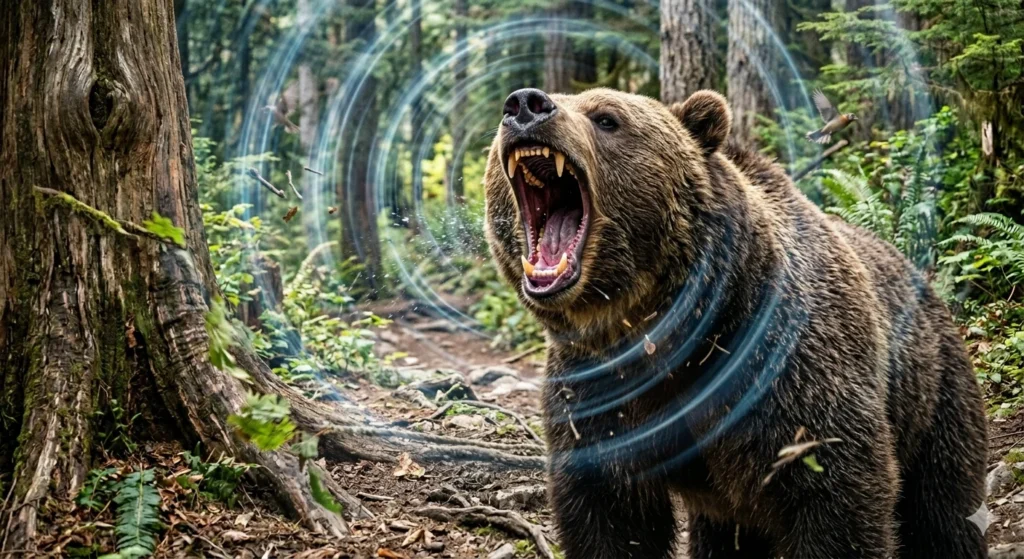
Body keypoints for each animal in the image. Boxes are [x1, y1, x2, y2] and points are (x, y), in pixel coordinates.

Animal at [482, 87, 988, 559]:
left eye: (607, 118)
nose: (525, 104)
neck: (658, 332)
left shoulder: (782, 372)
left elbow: (838, 497)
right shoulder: (596, 394)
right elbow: (611, 515)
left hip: (933, 391)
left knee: (942, 508)